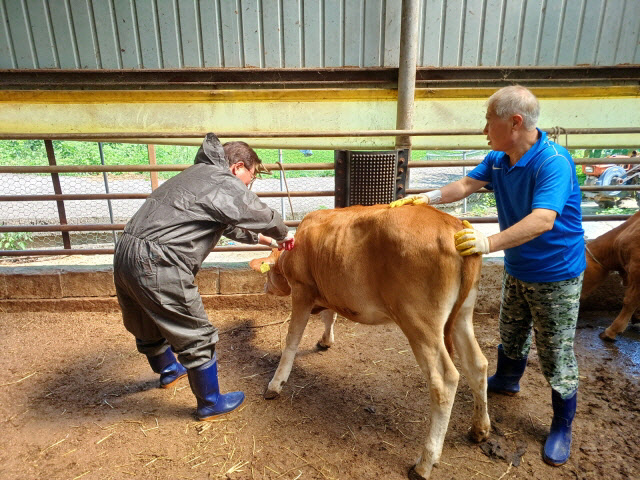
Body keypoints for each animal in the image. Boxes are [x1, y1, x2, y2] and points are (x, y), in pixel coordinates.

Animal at [250, 203, 490, 480]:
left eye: (268, 274)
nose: (265, 288)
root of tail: (453, 224)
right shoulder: (329, 291)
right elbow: (329, 316)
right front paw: (325, 341)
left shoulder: (302, 289)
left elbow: (292, 339)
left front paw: (276, 383)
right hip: (463, 314)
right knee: (477, 364)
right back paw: (480, 428)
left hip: (420, 322)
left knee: (444, 380)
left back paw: (425, 462)